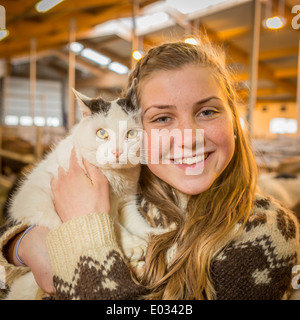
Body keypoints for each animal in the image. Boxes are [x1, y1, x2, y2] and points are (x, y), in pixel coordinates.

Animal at [4, 83, 163, 300]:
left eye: (131, 134)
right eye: (102, 133)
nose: (117, 152)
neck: (116, 178)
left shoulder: (127, 202)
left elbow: (137, 223)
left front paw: (156, 233)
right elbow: (113, 223)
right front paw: (133, 244)